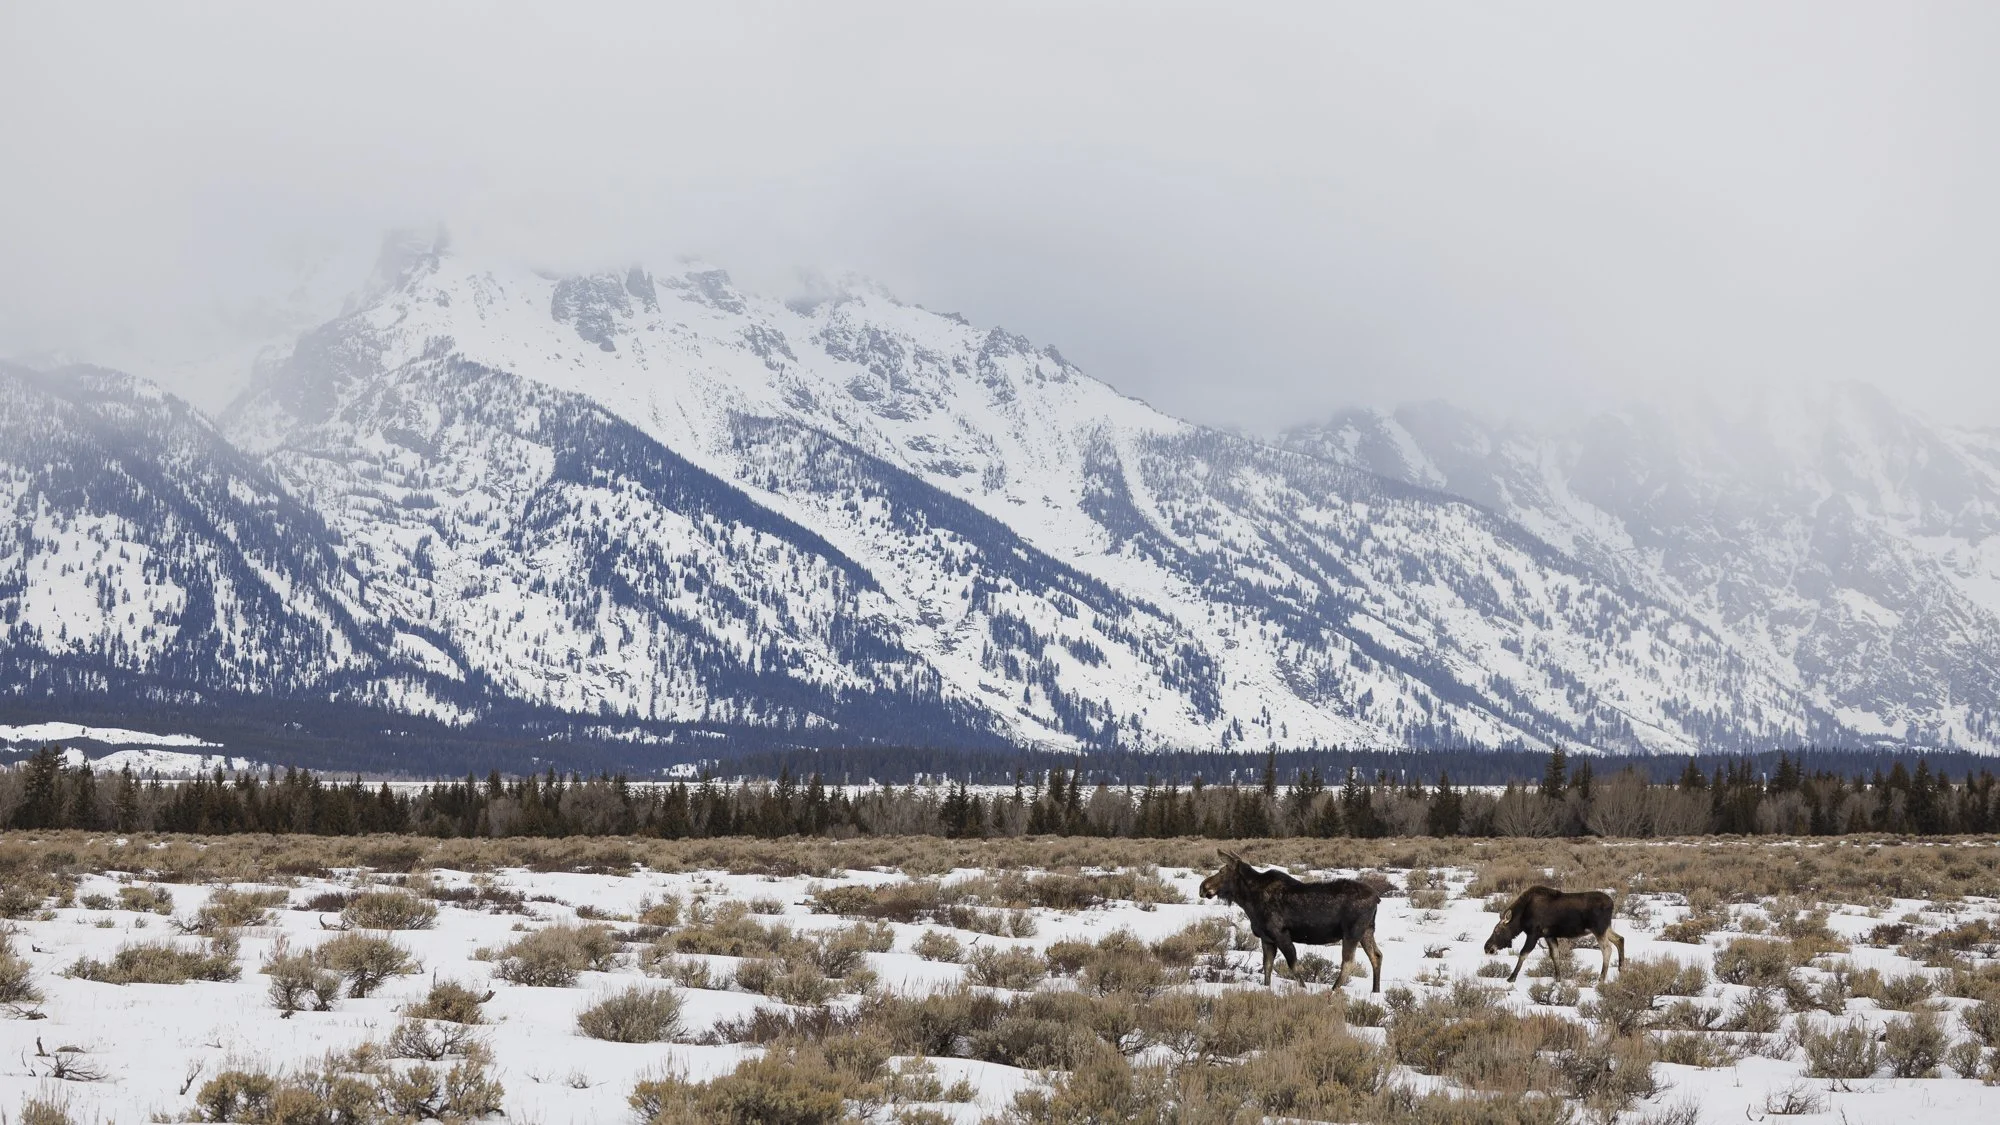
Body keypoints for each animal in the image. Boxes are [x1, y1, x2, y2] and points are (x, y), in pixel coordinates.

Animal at [1199, 850, 1383, 991]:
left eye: (1222, 871)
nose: (1202, 887)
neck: (1248, 900)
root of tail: (1377, 898)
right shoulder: (1267, 939)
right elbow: (1267, 967)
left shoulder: (1281, 934)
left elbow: (1293, 966)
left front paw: (1304, 989)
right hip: (1367, 930)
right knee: (1376, 956)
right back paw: (1375, 991)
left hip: (1352, 932)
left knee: (1348, 962)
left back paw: (1333, 991)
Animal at [1483, 885, 1625, 983]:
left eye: (1497, 930)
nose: (1487, 947)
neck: (1521, 918)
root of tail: (1612, 904)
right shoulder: (1549, 935)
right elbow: (1555, 955)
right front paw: (1558, 979)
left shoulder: (1534, 934)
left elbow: (1523, 953)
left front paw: (1511, 977)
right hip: (1605, 928)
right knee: (1620, 939)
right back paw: (1621, 970)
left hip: (1598, 929)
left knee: (1607, 949)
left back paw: (1601, 978)